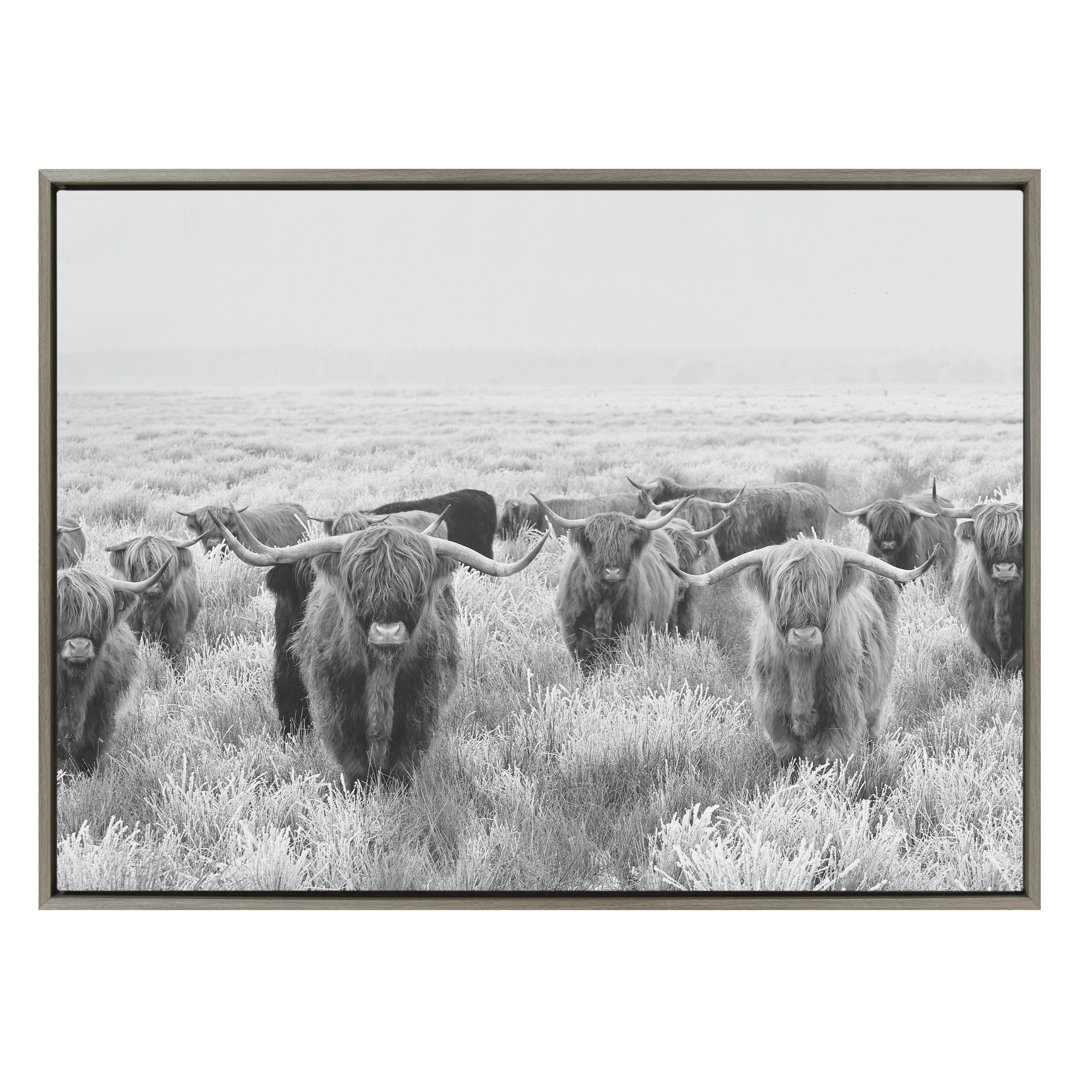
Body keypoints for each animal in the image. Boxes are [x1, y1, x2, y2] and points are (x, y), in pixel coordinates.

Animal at [531, 494, 692, 672]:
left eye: (627, 542)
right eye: (594, 542)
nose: (613, 571)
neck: (604, 598)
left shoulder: (630, 628)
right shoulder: (574, 631)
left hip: (668, 618)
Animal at [666, 539, 939, 763]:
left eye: (825, 591)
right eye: (781, 591)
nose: (804, 635)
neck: (802, 669)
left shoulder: (842, 711)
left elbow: (832, 759)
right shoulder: (775, 714)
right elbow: (789, 757)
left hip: (877, 695)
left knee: (872, 726)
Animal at [940, 500, 1024, 673]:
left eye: (1018, 539)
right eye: (984, 539)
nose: (1004, 569)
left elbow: (1014, 662)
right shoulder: (981, 633)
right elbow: (995, 662)